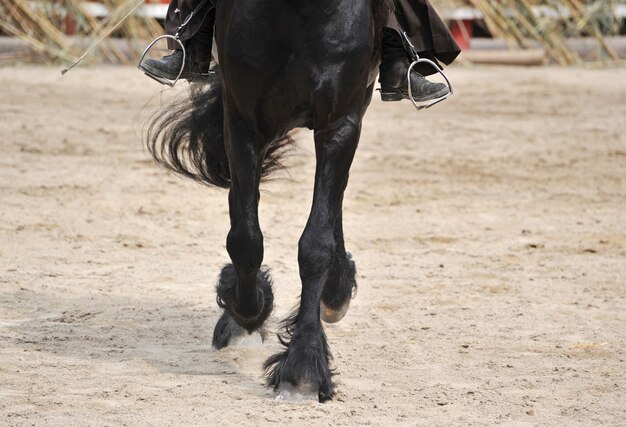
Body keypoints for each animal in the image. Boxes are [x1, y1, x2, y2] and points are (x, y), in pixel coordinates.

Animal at [147, 0, 388, 402]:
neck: (299, 12)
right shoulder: (243, 120)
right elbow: (244, 240)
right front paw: (248, 308)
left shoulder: (340, 122)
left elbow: (316, 243)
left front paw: (304, 365)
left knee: (333, 204)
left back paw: (336, 290)